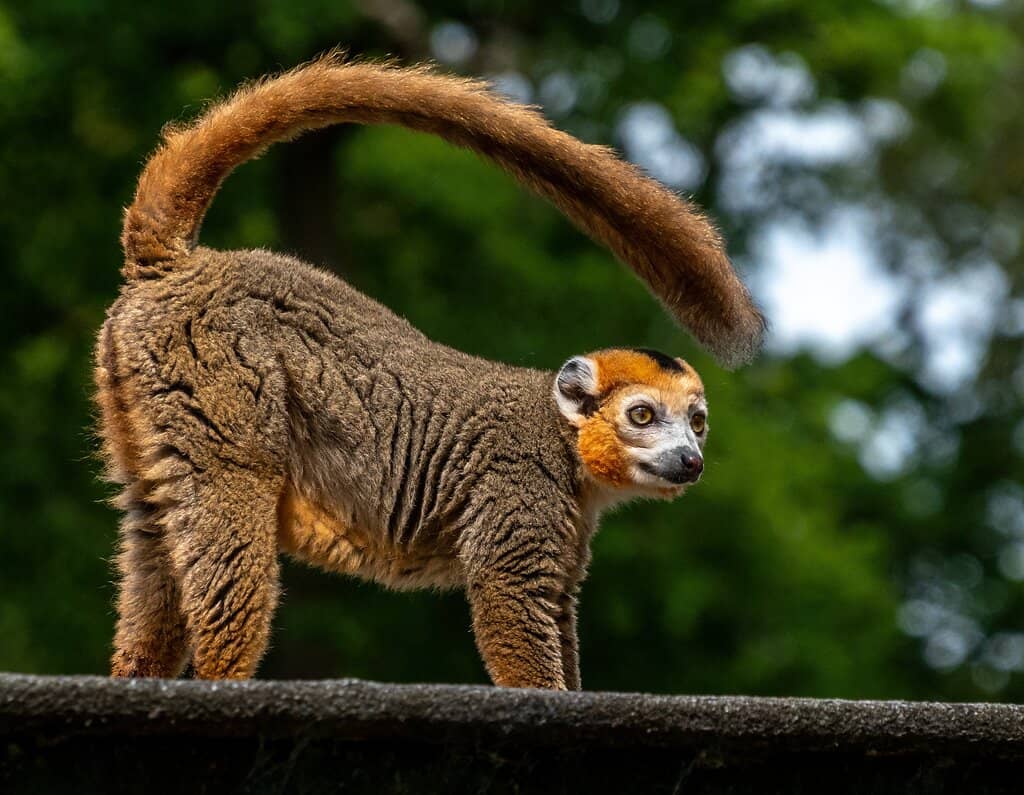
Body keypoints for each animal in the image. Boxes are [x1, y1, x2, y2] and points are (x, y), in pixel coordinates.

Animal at [95, 53, 764, 689]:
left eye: (697, 424)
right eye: (642, 416)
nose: (689, 459)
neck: (567, 447)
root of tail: (182, 267)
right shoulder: (519, 487)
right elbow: (508, 596)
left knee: (155, 523)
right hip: (216, 373)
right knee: (231, 494)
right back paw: (221, 681)